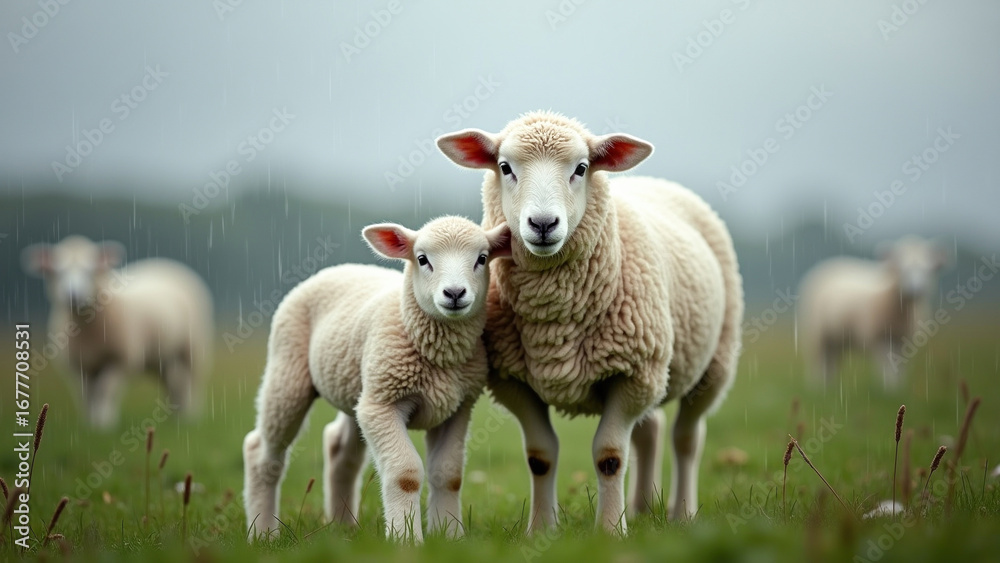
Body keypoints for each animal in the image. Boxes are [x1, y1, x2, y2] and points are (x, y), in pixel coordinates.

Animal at [21, 235, 214, 428]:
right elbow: (86, 395)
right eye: (57, 271)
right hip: (159, 357)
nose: (72, 294)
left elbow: (105, 391)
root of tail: (164, 263)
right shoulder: (77, 366)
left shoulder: (120, 360)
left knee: (191, 381)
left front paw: (104, 422)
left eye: (91, 270)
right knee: (172, 382)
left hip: (192, 349)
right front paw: (90, 424)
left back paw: (190, 416)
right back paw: (174, 416)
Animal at [242, 217, 511, 543]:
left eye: (482, 258)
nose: (455, 293)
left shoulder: (458, 407)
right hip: (289, 370)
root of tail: (337, 267)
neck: (438, 355)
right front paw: (406, 538)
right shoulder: (382, 405)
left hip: (357, 385)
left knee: (339, 448)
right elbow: (405, 473)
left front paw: (450, 536)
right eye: (422, 259)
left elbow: (449, 474)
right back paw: (263, 533)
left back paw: (342, 527)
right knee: (262, 452)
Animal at [436, 111, 744, 533]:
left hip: (714, 364)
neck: (555, 317)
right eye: (504, 167)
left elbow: (610, 456)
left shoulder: (633, 375)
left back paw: (682, 513)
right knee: (651, 431)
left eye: (581, 168)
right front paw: (540, 530)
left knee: (687, 438)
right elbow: (541, 455)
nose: (543, 224)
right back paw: (643, 508)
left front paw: (611, 530)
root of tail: (652, 180)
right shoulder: (514, 382)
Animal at [797, 236, 948, 388]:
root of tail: (831, 262)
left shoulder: (905, 339)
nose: (916, 290)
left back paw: (830, 384)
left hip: (839, 338)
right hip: (817, 334)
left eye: (928, 271)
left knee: (832, 361)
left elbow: (901, 366)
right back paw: (818, 386)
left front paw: (899, 387)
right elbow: (888, 364)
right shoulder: (879, 337)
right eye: (900, 269)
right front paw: (890, 387)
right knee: (820, 361)